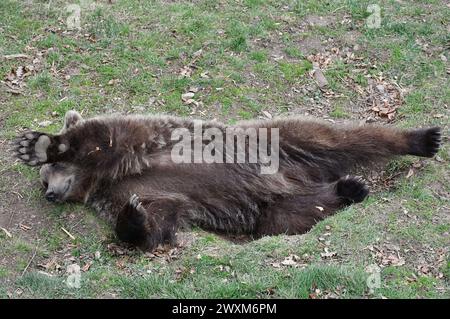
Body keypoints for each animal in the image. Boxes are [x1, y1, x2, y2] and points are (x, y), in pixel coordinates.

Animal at [12, 111, 442, 251]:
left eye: (48, 176)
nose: (50, 194)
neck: (103, 180)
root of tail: (295, 178)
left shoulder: (140, 142)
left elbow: (101, 135)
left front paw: (36, 144)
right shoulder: (143, 194)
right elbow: (156, 223)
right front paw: (133, 218)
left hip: (275, 141)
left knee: (333, 135)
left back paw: (421, 138)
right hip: (272, 207)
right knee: (295, 214)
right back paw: (351, 188)